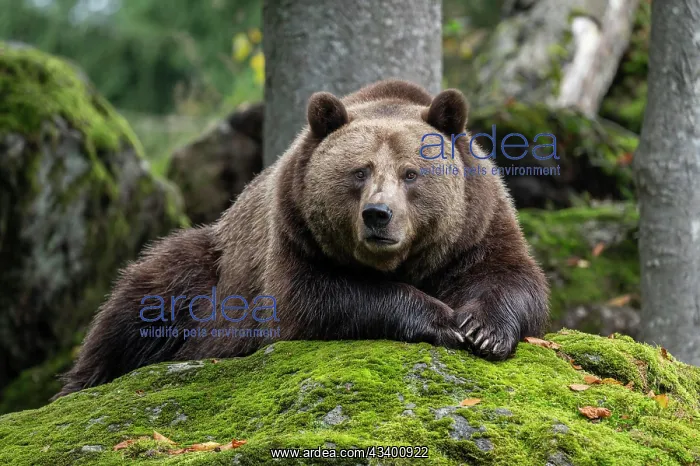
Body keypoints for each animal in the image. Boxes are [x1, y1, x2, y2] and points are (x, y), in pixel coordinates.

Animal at [53, 79, 549, 399]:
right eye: (360, 171)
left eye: (411, 174)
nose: (378, 215)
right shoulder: (294, 236)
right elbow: (317, 298)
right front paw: (441, 319)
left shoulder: (478, 227)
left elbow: (513, 278)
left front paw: (482, 330)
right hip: (213, 266)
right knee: (149, 294)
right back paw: (82, 384)